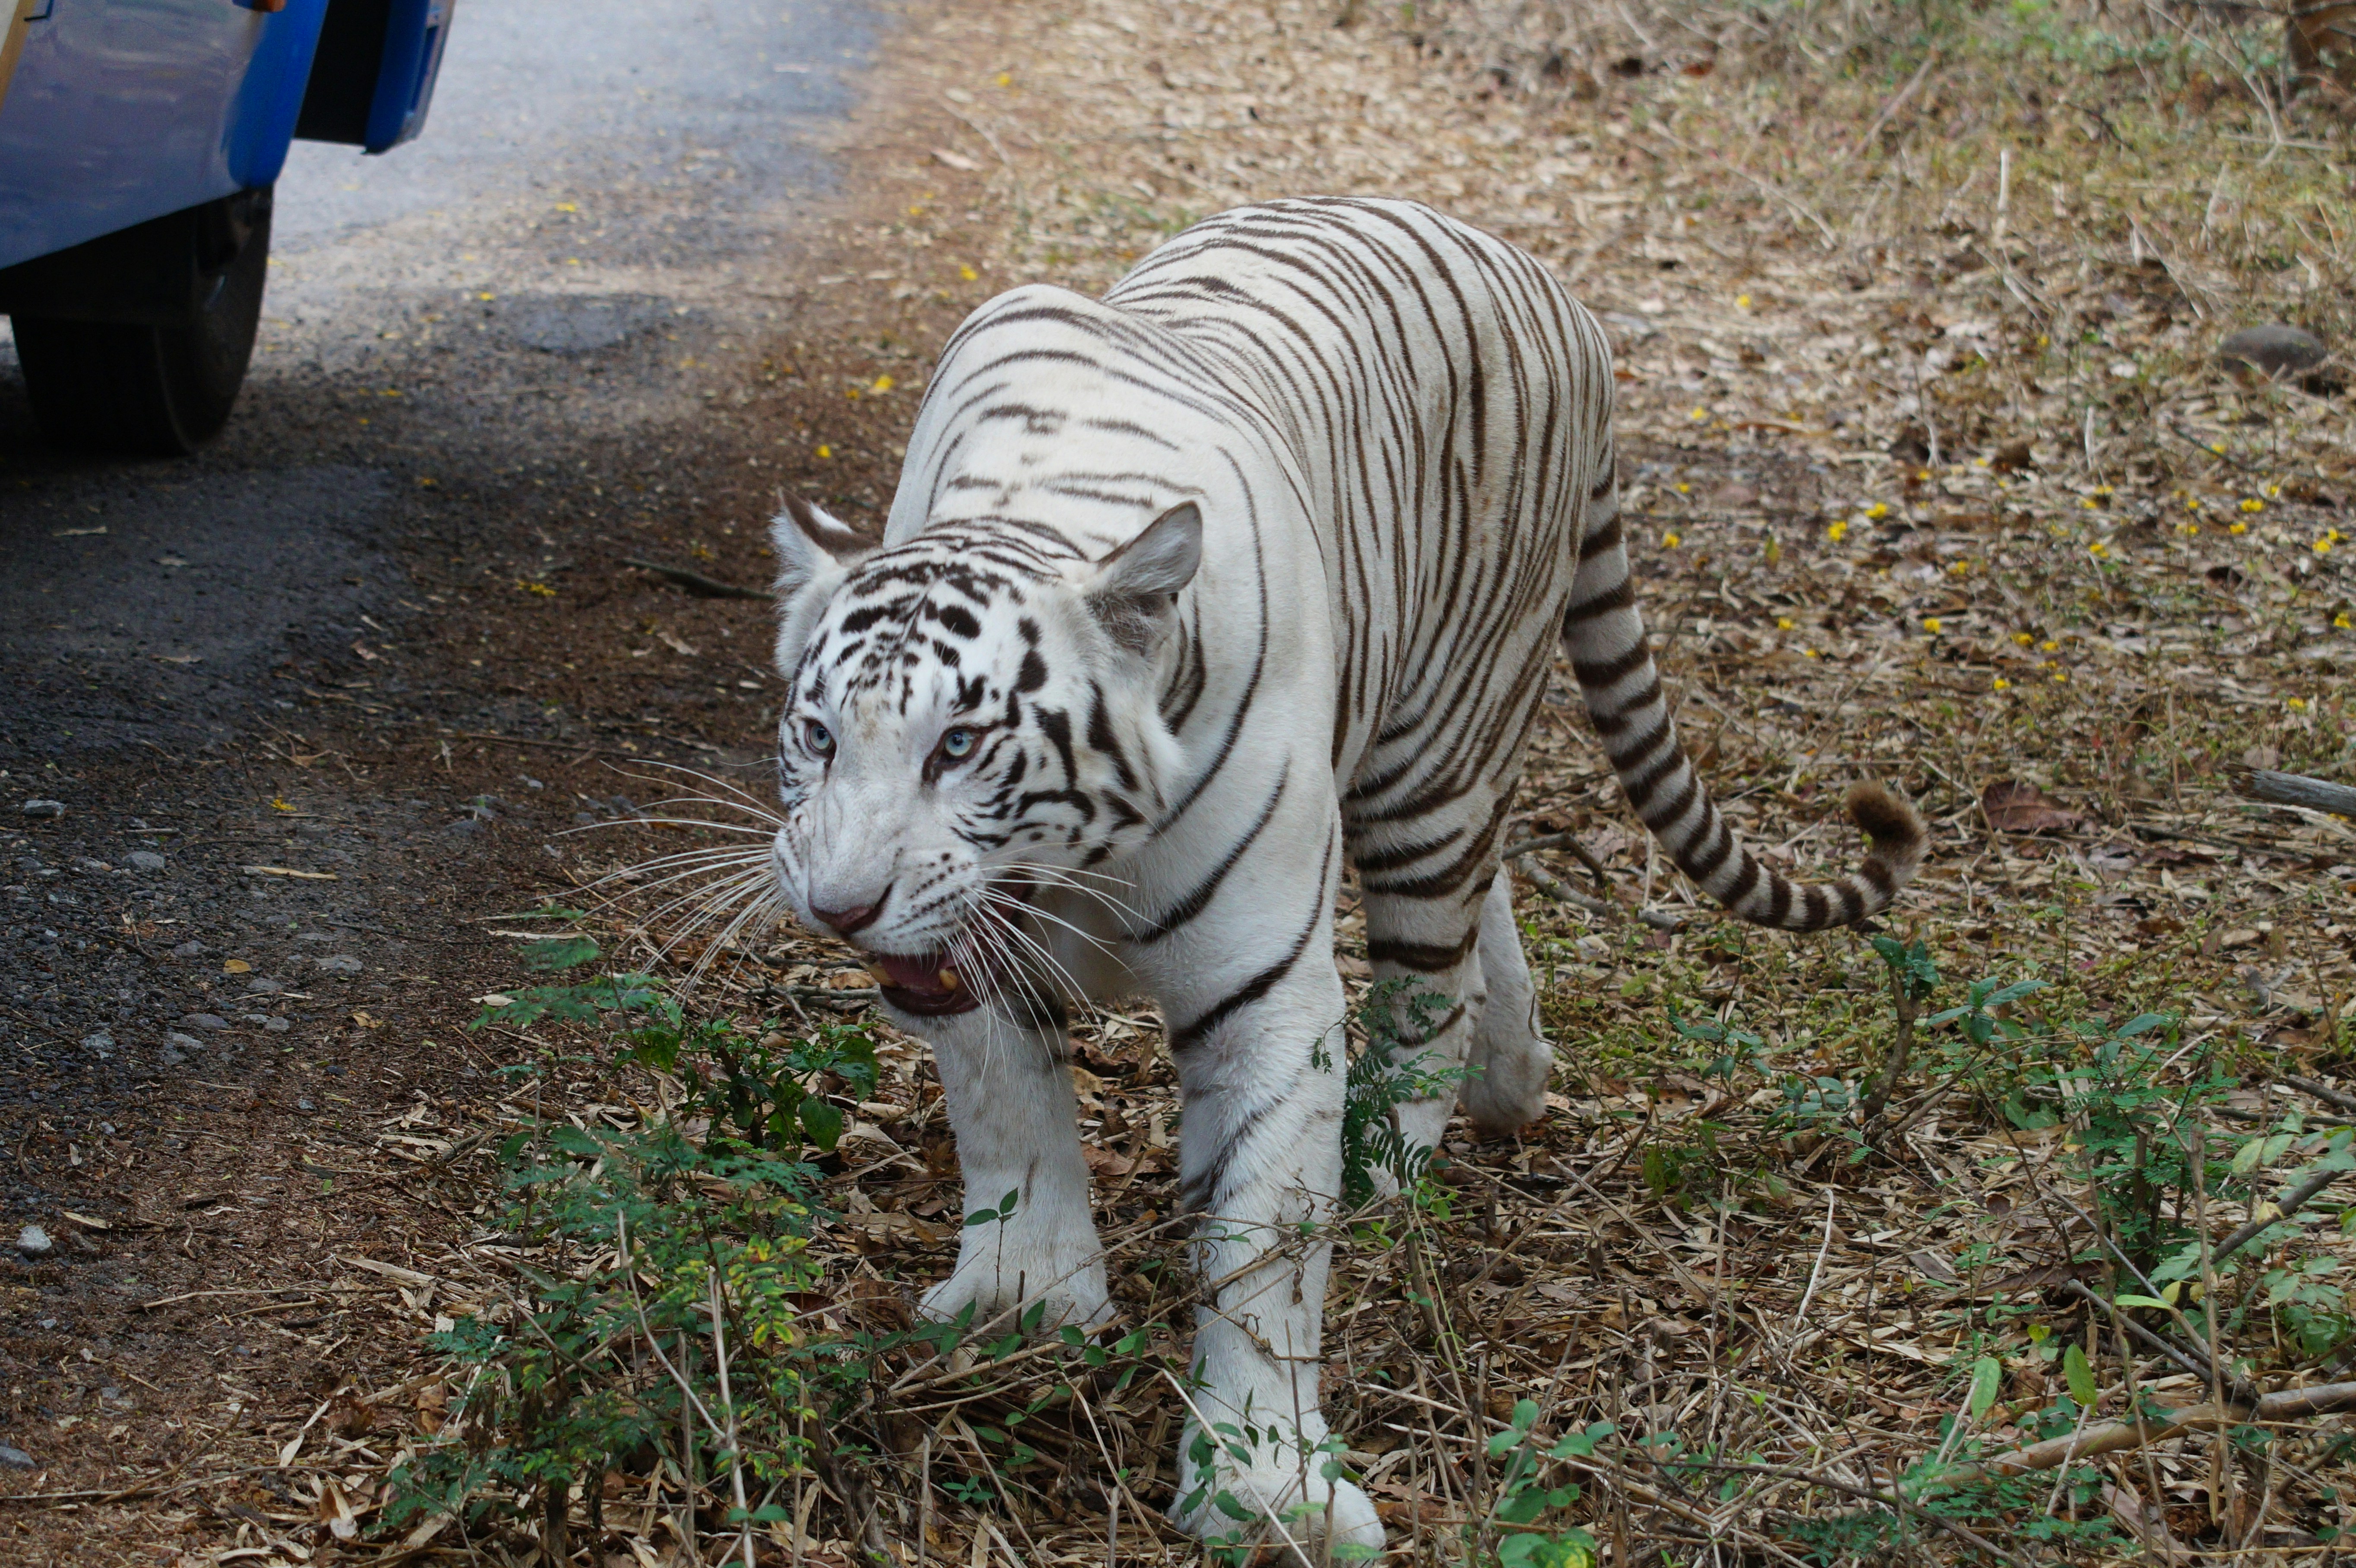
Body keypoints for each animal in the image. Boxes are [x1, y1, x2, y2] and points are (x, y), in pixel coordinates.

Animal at [764, 197, 1925, 1550]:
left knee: (1435, 969)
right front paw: (1027, 1300)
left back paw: (1396, 1158)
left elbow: (1265, 1244)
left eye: (958, 745)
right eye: (818, 736)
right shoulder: (969, 945)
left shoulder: (1264, 989)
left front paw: (1266, 1490)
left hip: (1435, 751)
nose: (840, 909)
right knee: (1489, 896)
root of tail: (1555, 289)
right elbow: (1009, 1114)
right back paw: (1513, 1076)